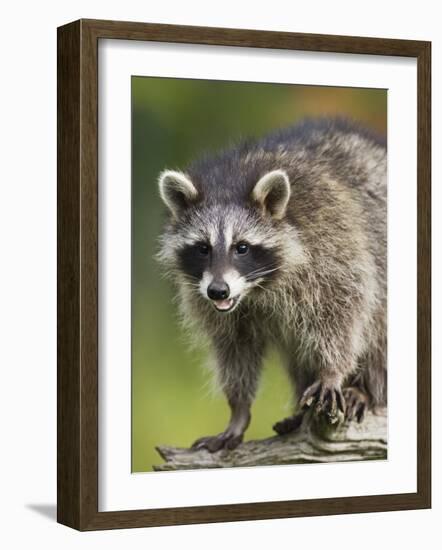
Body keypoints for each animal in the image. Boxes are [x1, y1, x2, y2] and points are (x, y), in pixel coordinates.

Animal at [157, 118, 386, 454]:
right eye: (202, 248)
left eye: (242, 248)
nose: (218, 291)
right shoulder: (207, 297)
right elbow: (234, 348)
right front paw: (238, 409)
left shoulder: (332, 244)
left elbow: (345, 311)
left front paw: (332, 372)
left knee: (378, 328)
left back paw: (367, 391)